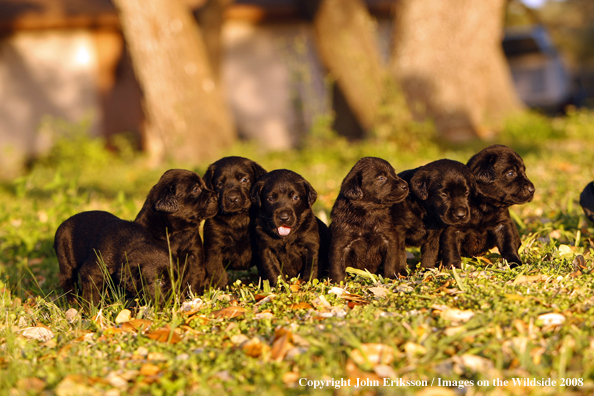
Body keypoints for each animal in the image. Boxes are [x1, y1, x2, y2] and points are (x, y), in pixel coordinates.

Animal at [55, 169, 217, 306]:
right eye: (196, 189)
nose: (216, 196)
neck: (175, 232)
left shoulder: (194, 256)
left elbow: (192, 279)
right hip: (66, 263)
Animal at [204, 156, 266, 290]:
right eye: (219, 184)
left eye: (244, 180)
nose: (232, 198)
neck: (238, 218)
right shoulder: (213, 252)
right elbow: (219, 275)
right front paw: (221, 291)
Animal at [328, 156, 408, 284]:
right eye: (381, 178)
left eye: (394, 173)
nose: (406, 185)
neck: (368, 212)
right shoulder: (340, 245)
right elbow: (337, 267)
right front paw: (338, 283)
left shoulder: (389, 240)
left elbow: (391, 262)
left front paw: (390, 278)